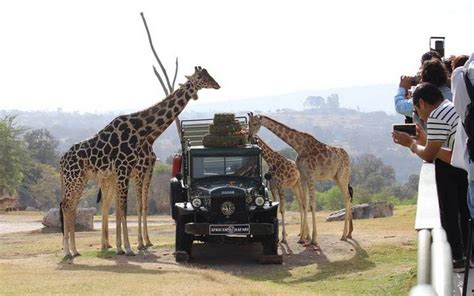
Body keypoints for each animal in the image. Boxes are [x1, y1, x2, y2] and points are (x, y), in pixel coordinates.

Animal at [59, 66, 220, 260]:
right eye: (202, 77)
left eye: (209, 74)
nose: (217, 84)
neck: (143, 132)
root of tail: (61, 160)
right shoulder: (126, 169)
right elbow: (125, 207)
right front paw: (129, 248)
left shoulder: (132, 171)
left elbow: (131, 206)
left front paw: (127, 246)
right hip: (75, 178)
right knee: (67, 205)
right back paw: (68, 251)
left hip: (82, 179)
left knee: (73, 206)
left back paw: (75, 250)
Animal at [248, 111, 352, 245]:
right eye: (248, 123)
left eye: (255, 123)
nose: (249, 137)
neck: (299, 146)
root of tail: (348, 156)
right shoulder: (303, 177)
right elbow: (305, 204)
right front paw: (303, 238)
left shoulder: (311, 175)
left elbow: (312, 204)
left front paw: (313, 239)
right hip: (336, 177)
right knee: (347, 197)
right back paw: (347, 234)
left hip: (343, 175)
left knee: (347, 197)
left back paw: (344, 235)